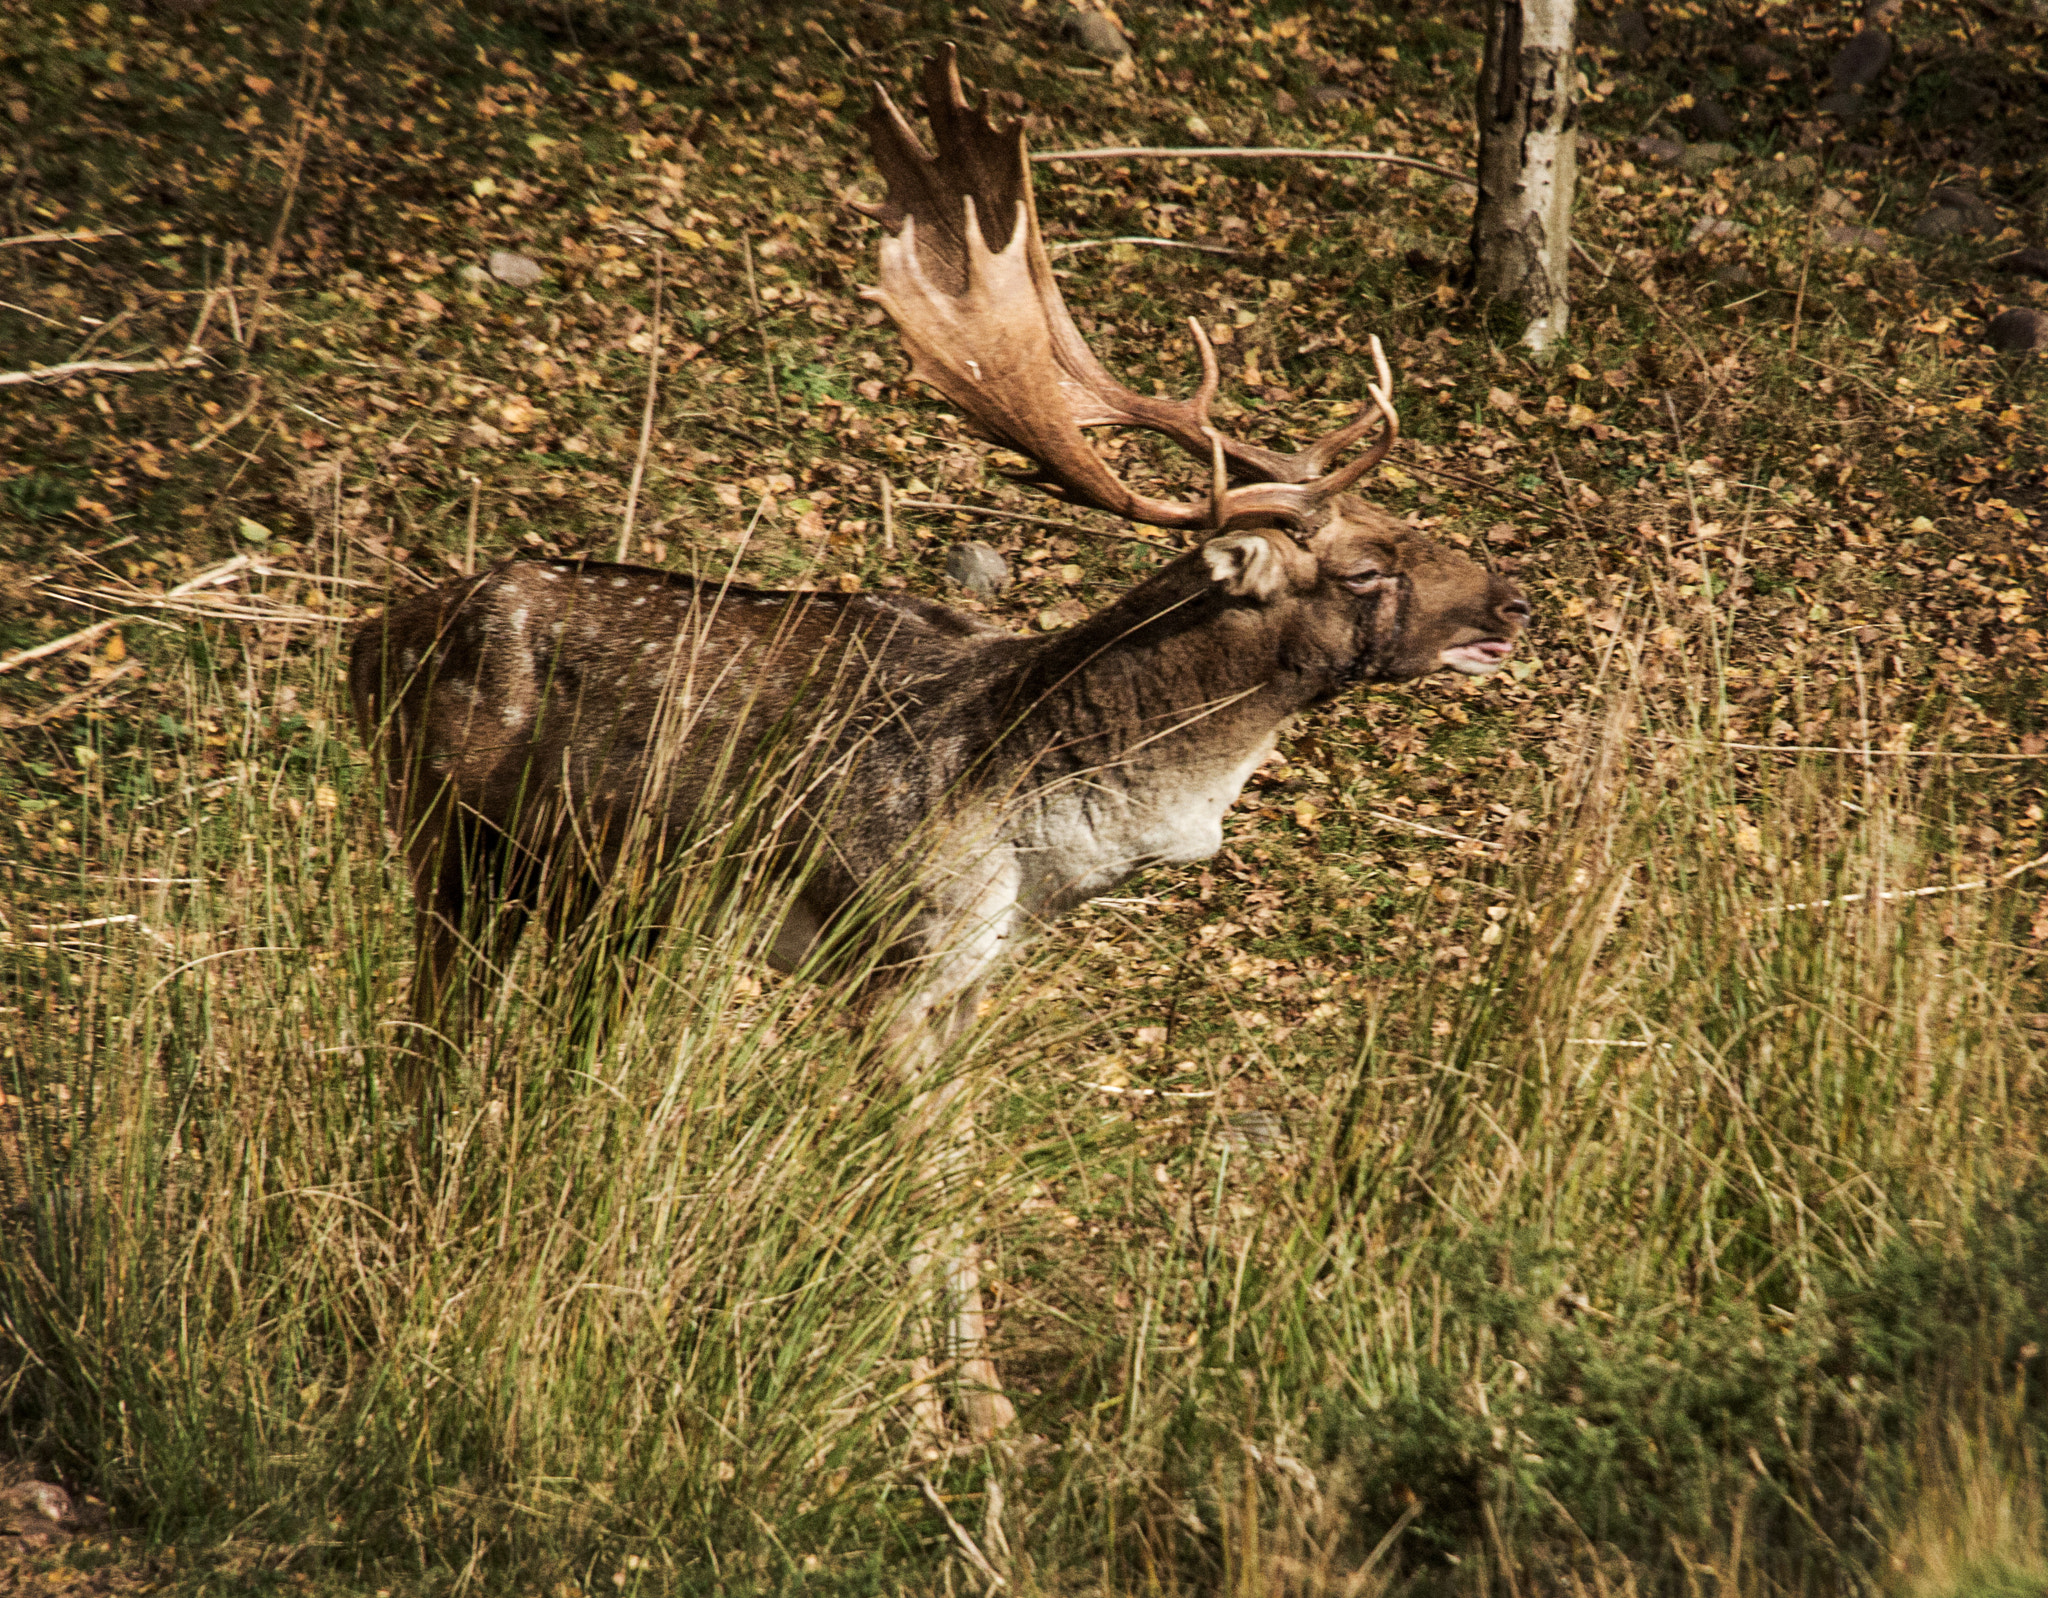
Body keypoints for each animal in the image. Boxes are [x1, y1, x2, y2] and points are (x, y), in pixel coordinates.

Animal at [349, 47, 1529, 1442]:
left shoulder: (973, 976)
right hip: (453, 845)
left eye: (1413, 521)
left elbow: (953, 1174)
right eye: (1363, 568)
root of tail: (362, 637)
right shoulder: (882, 960)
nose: (1510, 596)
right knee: (426, 1035)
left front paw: (980, 1404)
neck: (1040, 827)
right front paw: (932, 1418)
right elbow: (903, 1185)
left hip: (600, 900)